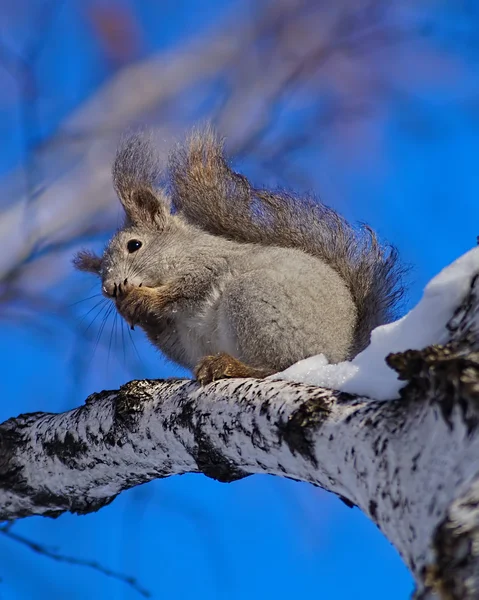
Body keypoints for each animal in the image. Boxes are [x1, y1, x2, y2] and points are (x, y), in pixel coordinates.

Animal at [74, 127, 404, 384]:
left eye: (134, 245)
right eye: (100, 272)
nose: (110, 289)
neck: (182, 251)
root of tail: (343, 354)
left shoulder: (209, 264)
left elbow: (188, 287)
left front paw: (144, 299)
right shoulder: (179, 336)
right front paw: (132, 311)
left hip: (253, 300)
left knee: (278, 367)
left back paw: (230, 365)